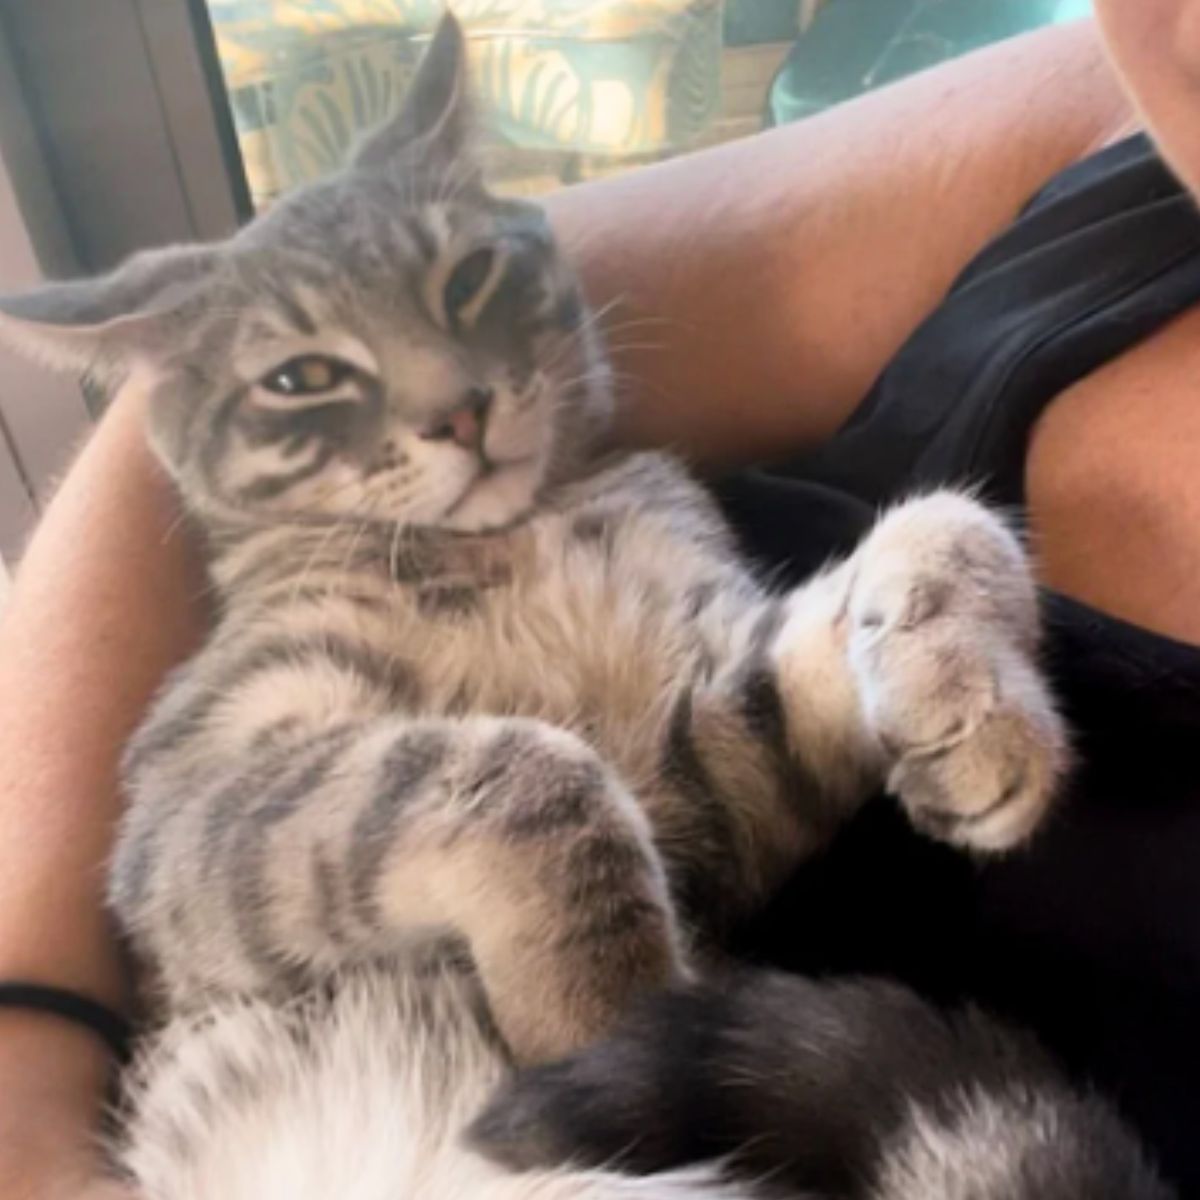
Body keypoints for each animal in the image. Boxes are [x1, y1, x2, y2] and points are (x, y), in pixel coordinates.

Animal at [0, 14, 1161, 1200]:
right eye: (299, 377)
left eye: (465, 278)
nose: (458, 413)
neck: (509, 541)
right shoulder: (197, 801)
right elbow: (518, 772)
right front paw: (596, 1023)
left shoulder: (702, 760)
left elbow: (946, 524)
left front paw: (973, 694)